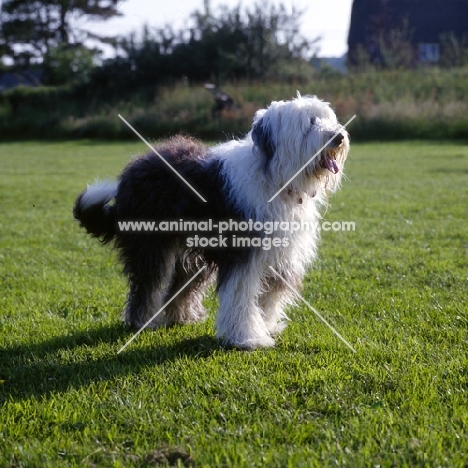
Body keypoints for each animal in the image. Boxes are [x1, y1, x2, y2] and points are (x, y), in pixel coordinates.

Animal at [73, 95, 350, 350]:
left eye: (326, 118)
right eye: (310, 122)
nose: (338, 137)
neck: (276, 177)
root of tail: (132, 171)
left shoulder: (280, 256)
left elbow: (270, 296)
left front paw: (267, 325)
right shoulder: (243, 255)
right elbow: (240, 296)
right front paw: (247, 338)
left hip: (188, 251)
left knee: (181, 284)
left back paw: (183, 316)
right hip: (150, 243)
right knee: (147, 284)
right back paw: (143, 321)